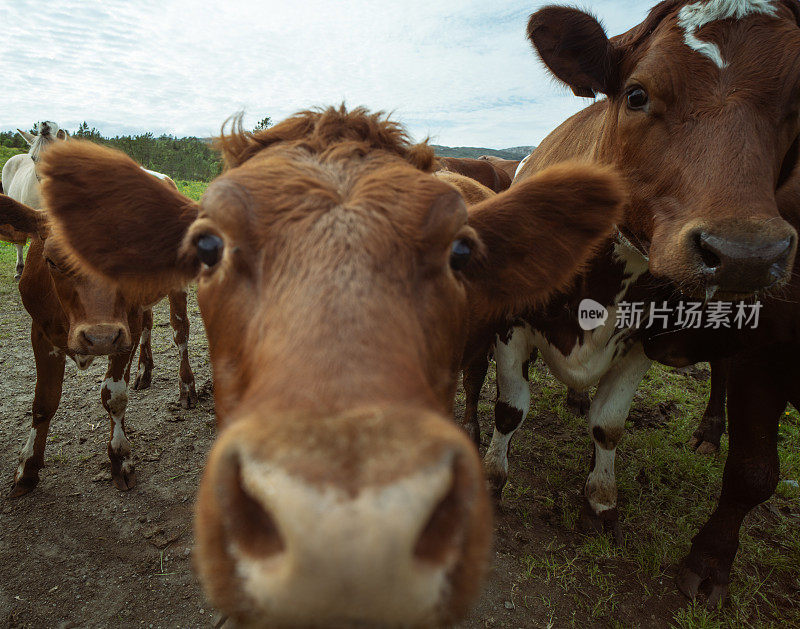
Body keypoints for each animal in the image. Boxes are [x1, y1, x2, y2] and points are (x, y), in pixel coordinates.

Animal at [460, 0, 800, 592]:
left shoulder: (645, 338)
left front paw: (601, 502)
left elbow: (609, 424)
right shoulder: (512, 323)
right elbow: (509, 409)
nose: (748, 253)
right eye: (637, 94)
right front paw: (495, 481)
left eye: (798, 102)